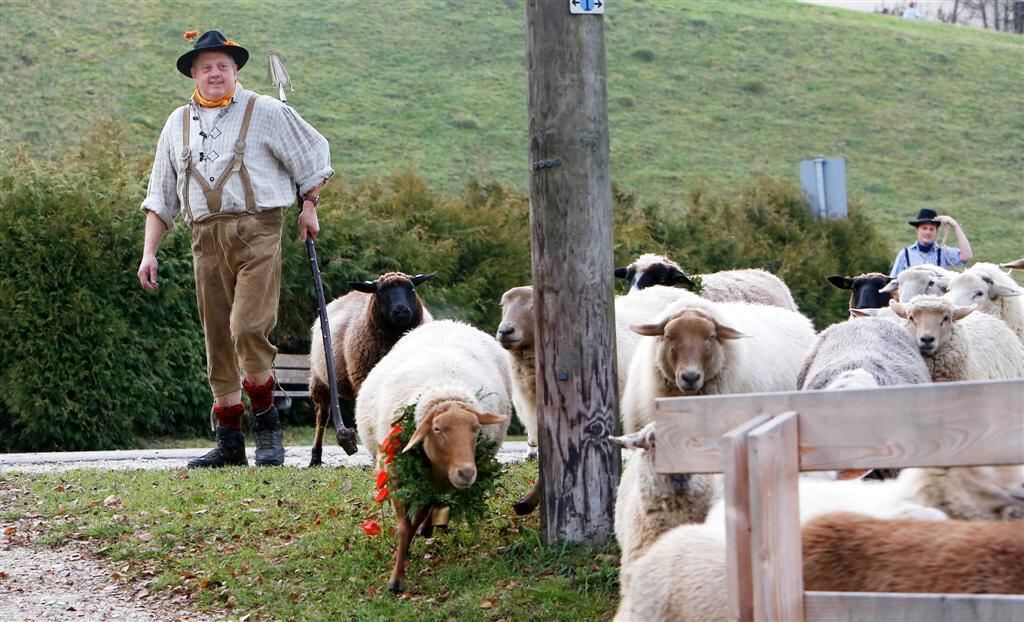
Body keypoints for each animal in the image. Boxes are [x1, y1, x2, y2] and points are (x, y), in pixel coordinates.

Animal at [303, 270, 432, 465]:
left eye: (411, 288)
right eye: (381, 291)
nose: (401, 311)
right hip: (321, 380)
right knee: (322, 418)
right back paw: (315, 457)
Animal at [354, 321, 509, 594]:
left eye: (476, 429)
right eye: (437, 429)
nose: (467, 472)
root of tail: (451, 322)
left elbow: (416, 519)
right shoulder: (397, 477)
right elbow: (404, 527)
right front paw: (396, 579)